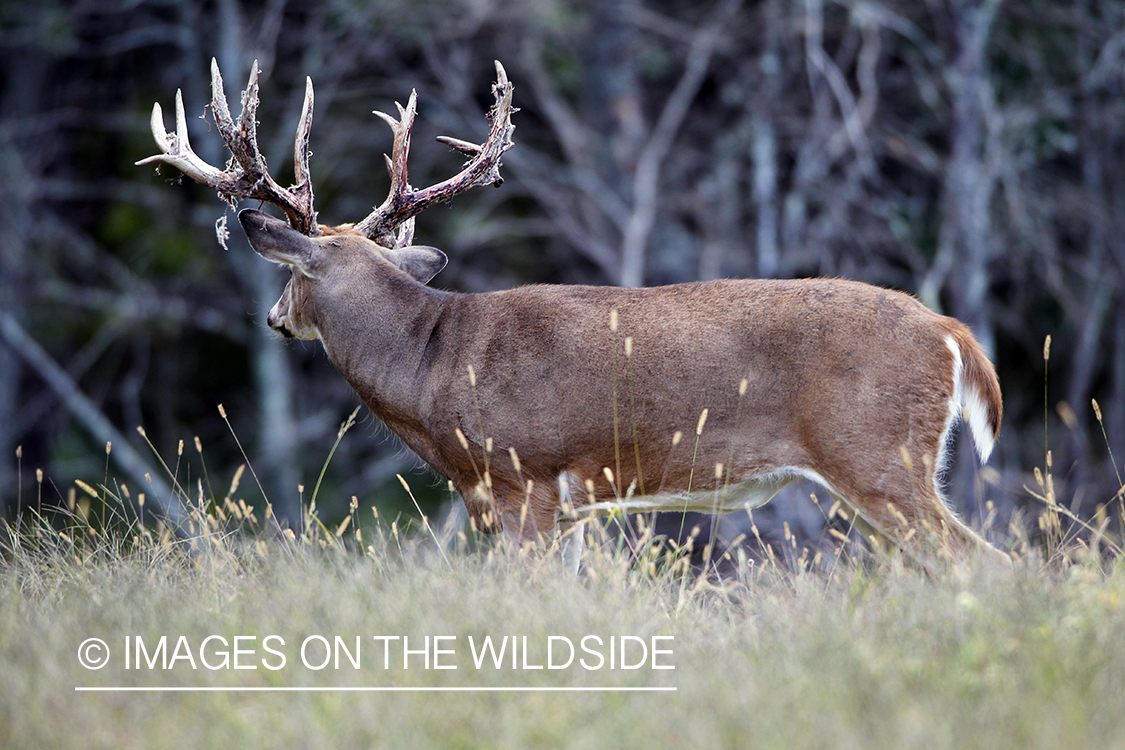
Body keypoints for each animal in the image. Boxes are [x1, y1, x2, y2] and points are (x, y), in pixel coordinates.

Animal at [140, 60, 1012, 575]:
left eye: (292, 275)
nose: (274, 318)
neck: (429, 364)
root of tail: (952, 334)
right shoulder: (567, 508)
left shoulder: (520, 478)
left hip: (875, 452)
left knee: (987, 562)